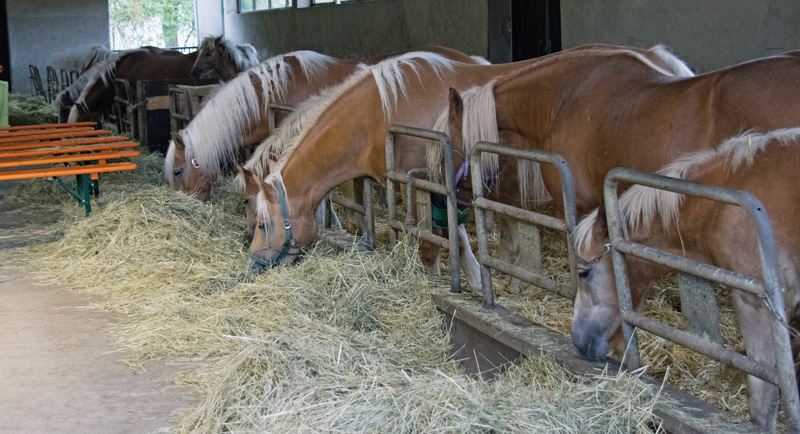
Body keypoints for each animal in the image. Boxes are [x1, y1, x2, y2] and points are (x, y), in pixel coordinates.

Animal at [245, 45, 692, 288]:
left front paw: (458, 277)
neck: (377, 113)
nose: (254, 264)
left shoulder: (426, 183)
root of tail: (662, 62)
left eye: (263, 222)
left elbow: (445, 236)